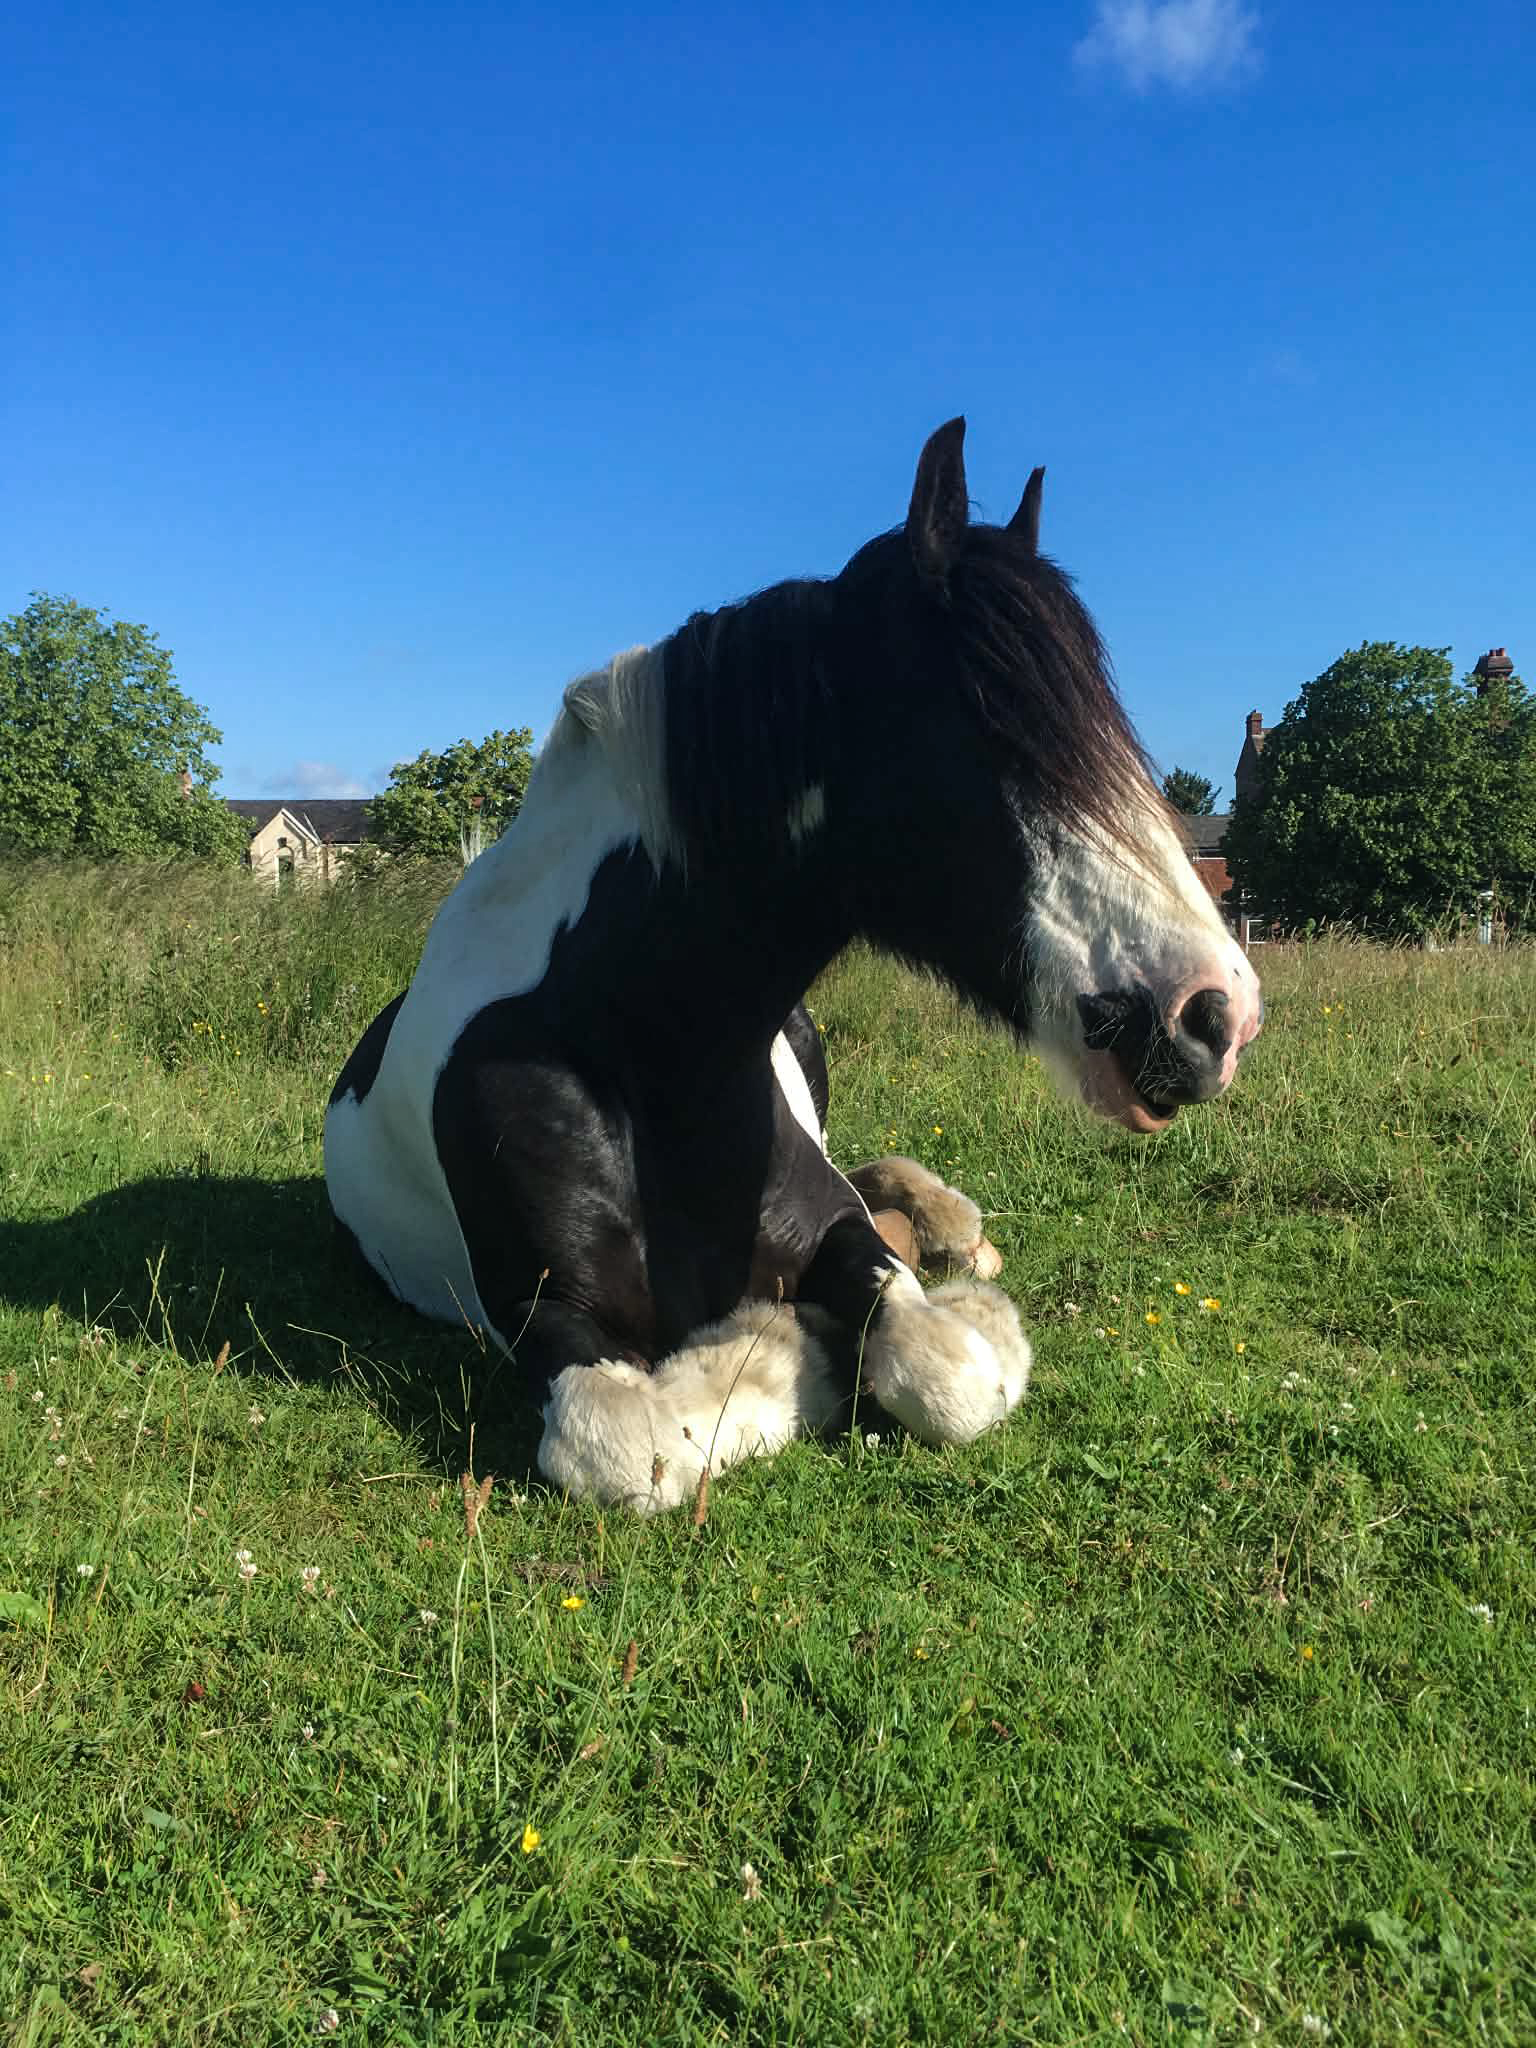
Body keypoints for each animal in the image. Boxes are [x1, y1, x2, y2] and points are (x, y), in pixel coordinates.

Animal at [325, 419, 1262, 1511]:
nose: (1216, 1016)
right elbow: (637, 1443)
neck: (645, 1046)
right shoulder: (544, 1318)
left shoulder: (836, 1233)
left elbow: (947, 1365)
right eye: (995, 730)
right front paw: (784, 1349)